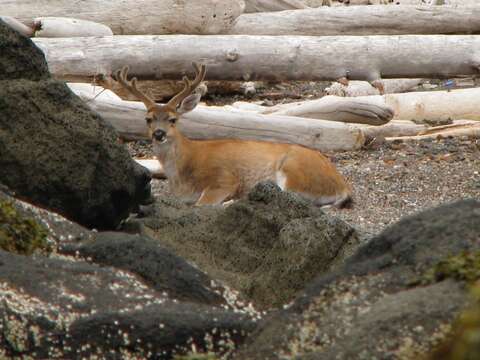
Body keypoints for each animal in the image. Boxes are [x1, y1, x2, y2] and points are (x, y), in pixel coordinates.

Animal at [110, 63, 354, 207]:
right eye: (148, 119)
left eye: (173, 119)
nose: (159, 134)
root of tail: (343, 187)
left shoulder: (224, 179)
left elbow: (202, 203)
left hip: (295, 170)